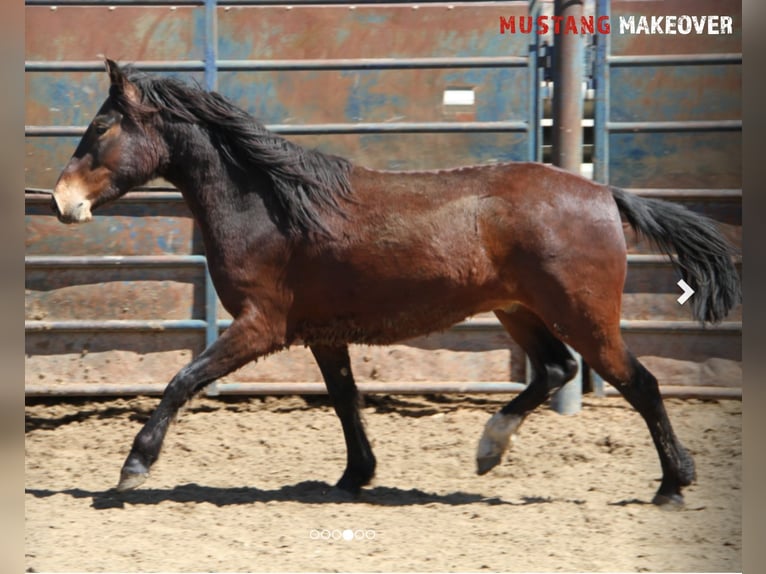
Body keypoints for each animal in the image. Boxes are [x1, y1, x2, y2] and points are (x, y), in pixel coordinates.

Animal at [51, 60, 740, 506]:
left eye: (102, 127)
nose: (62, 201)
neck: (271, 203)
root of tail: (604, 193)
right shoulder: (321, 333)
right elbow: (346, 399)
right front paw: (355, 476)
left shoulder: (260, 326)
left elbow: (182, 379)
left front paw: (133, 467)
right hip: (518, 309)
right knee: (555, 369)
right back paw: (489, 450)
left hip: (584, 315)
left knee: (639, 383)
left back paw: (672, 486)